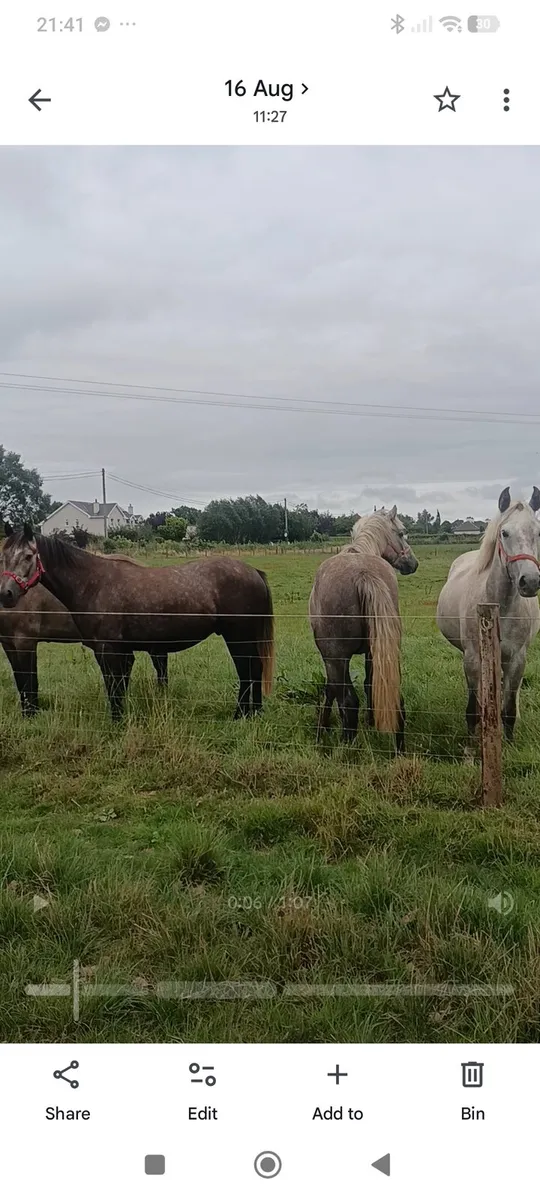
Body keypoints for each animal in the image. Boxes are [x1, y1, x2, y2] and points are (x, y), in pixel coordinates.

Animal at [0, 524, 274, 720]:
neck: (93, 583)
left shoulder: (107, 650)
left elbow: (113, 688)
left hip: (238, 636)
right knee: (254, 669)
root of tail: (254, 572)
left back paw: (241, 714)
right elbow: (118, 687)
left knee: (248, 671)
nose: (6, 594)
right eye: (3, 557)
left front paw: (117, 722)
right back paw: (254, 713)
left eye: (28, 556)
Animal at [309, 506, 418, 750]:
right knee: (395, 698)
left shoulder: (331, 657)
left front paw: (322, 730)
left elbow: (331, 690)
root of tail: (364, 575)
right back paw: (399, 750)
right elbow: (370, 684)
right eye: (402, 532)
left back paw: (346, 746)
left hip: (337, 658)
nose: (413, 564)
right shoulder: (370, 652)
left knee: (348, 701)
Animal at [436, 486, 540, 742]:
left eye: (538, 532)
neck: (501, 609)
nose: (530, 581)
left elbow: (509, 708)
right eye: (505, 533)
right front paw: (472, 748)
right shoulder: (473, 659)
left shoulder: (516, 659)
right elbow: (473, 709)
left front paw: (509, 743)